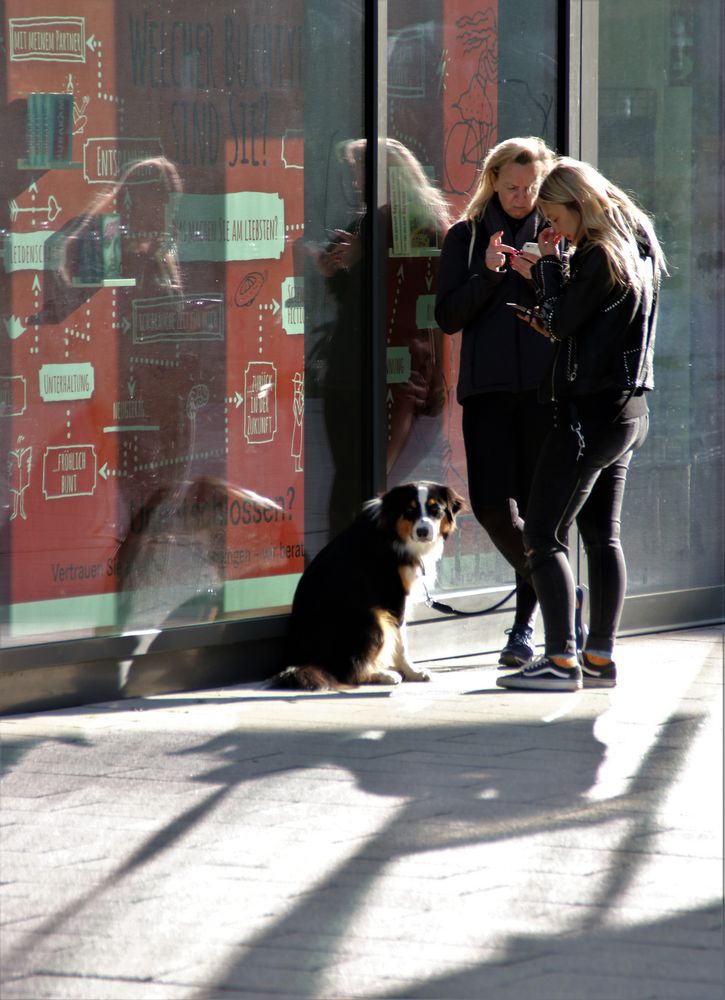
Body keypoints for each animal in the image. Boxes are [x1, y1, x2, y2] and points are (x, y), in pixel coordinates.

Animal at [270, 482, 464, 688]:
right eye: (409, 510)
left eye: (436, 509)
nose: (423, 531)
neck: (394, 533)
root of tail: (299, 661)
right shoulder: (393, 597)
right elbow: (401, 642)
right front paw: (413, 672)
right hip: (372, 617)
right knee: (347, 671)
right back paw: (384, 675)